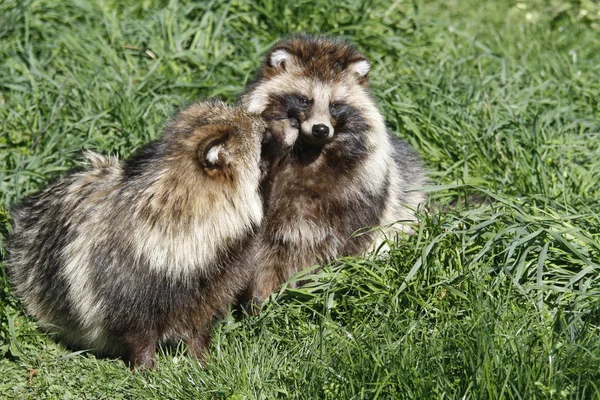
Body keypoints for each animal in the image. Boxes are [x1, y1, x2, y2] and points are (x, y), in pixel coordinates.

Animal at [4, 101, 296, 368]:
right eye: (265, 136)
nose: (294, 119)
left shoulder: (216, 278)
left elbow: (200, 321)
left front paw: (201, 358)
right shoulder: (123, 276)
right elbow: (136, 330)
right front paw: (146, 367)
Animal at [239, 35, 426, 304]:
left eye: (335, 105)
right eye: (304, 100)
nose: (320, 129)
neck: (310, 152)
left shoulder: (363, 191)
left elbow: (346, 244)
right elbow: (261, 256)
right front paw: (260, 300)